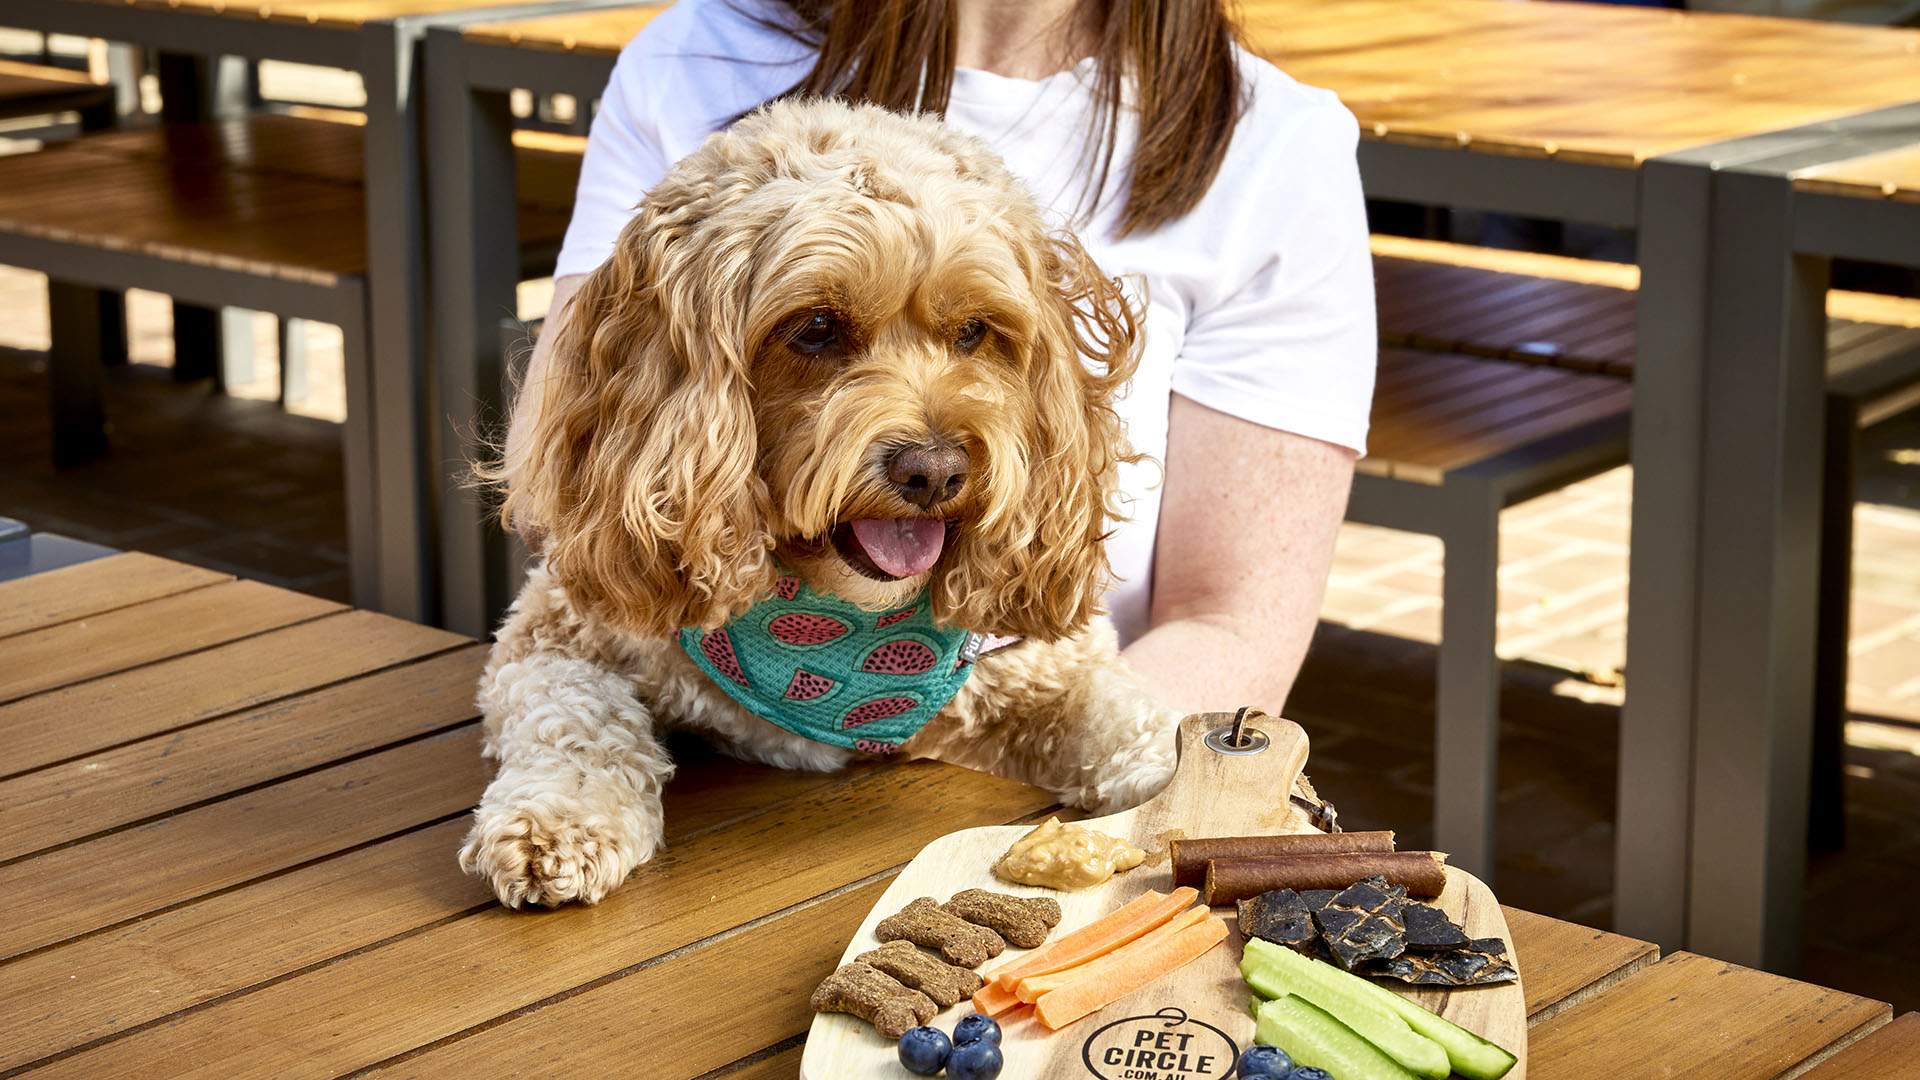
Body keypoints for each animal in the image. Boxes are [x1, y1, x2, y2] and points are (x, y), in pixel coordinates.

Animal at [464, 96, 1182, 903]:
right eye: (815, 328)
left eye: (974, 330)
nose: (935, 472)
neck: (839, 628)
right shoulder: (555, 628)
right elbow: (572, 716)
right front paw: (557, 819)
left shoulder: (1055, 668)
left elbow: (1144, 730)